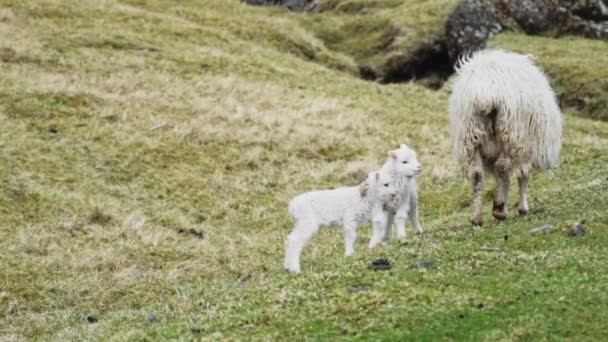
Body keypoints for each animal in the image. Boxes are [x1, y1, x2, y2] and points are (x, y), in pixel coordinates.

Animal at [448, 49, 564, 226]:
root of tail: (486, 93)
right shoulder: (528, 149)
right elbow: (523, 176)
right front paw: (522, 208)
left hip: (469, 136)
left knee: (477, 173)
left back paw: (476, 217)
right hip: (513, 135)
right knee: (502, 167)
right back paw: (499, 210)